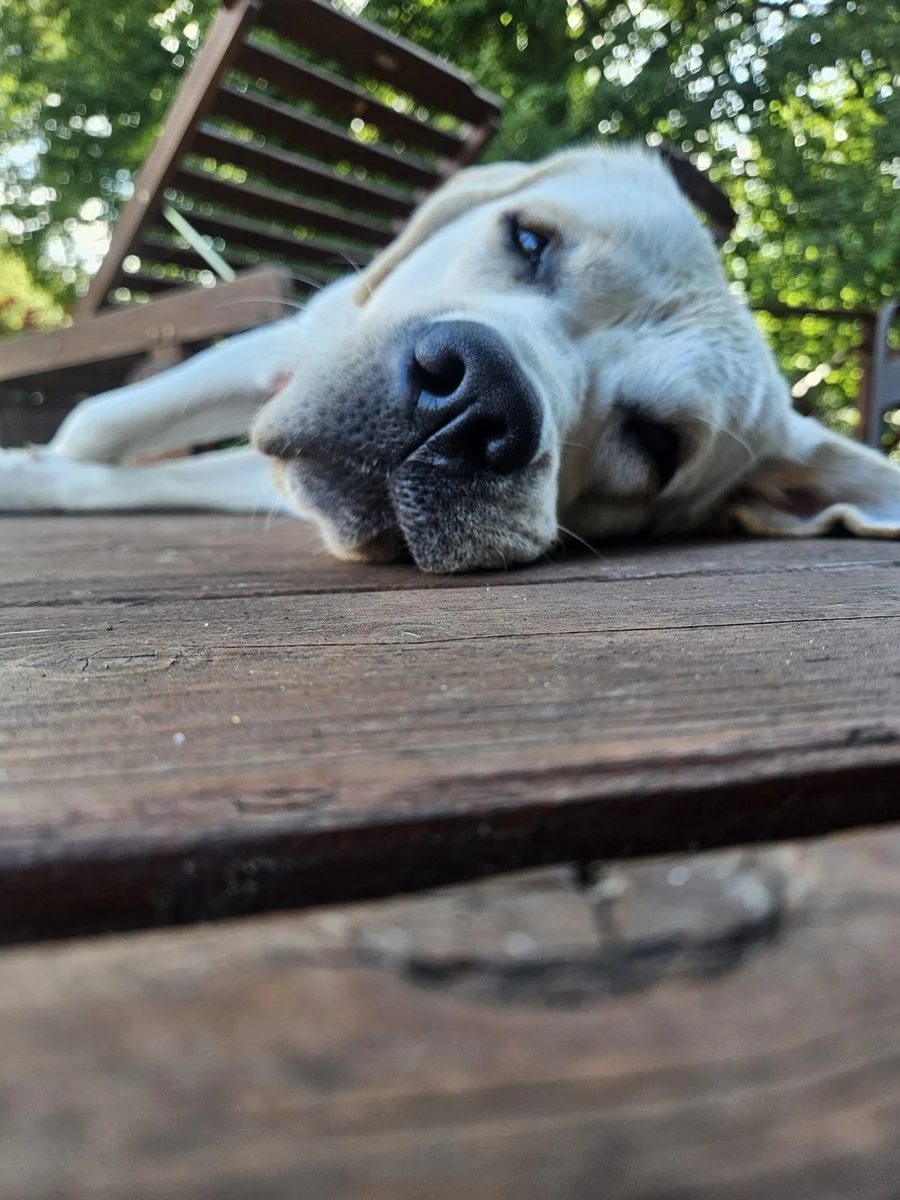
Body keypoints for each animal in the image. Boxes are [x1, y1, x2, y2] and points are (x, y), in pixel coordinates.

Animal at [2, 143, 899, 572]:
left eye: (657, 443)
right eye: (530, 239)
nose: (476, 402)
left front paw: (38, 477)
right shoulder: (297, 337)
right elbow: (99, 423)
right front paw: (35, 465)